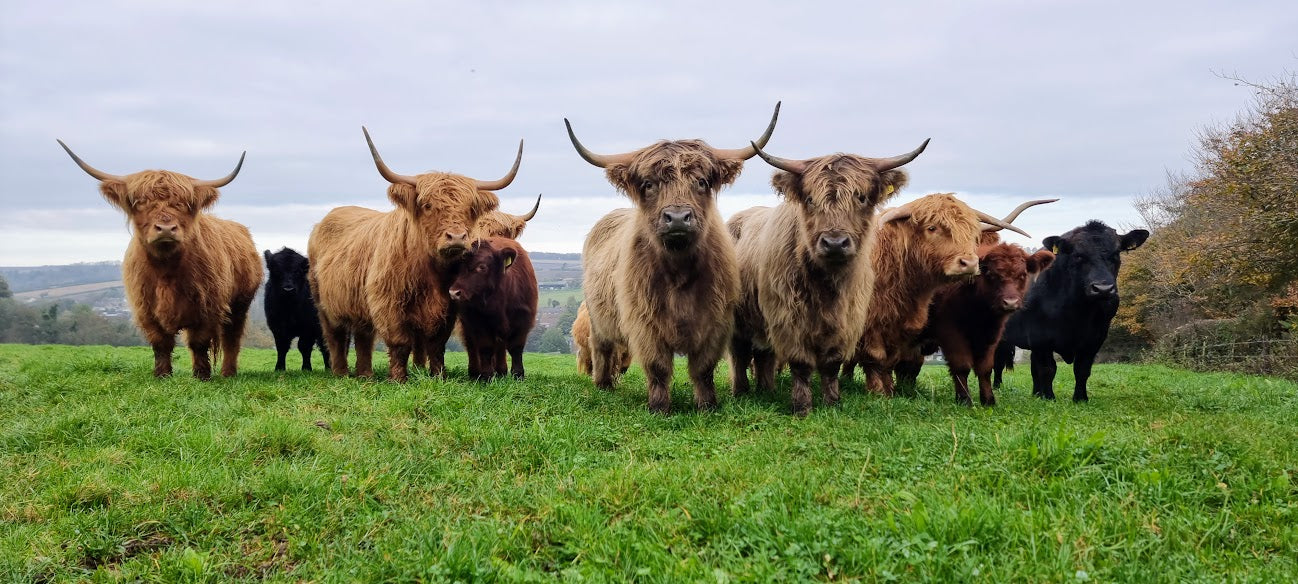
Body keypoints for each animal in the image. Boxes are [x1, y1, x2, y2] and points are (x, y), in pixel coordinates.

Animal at [59, 139, 262, 381]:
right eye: (140, 202)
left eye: (183, 203)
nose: (166, 228)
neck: (166, 270)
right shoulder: (144, 309)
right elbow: (161, 343)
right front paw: (162, 375)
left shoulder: (208, 306)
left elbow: (199, 342)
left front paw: (201, 376)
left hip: (239, 305)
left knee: (232, 339)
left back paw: (228, 373)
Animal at [308, 128, 516, 384]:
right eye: (427, 205)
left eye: (470, 208)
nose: (457, 237)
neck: (429, 271)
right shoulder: (387, 303)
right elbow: (400, 343)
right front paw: (398, 379)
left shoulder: (448, 306)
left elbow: (436, 344)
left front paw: (438, 376)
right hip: (325, 305)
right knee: (336, 337)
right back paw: (341, 373)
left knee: (364, 337)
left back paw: (365, 375)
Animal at [446, 234, 537, 381]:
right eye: (458, 267)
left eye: (482, 267)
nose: (454, 292)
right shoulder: (478, 322)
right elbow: (485, 348)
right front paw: (487, 376)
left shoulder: (523, 320)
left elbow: (516, 348)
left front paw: (518, 375)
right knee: (472, 347)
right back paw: (475, 373)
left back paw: (501, 372)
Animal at [571, 105, 778, 415]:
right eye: (648, 184)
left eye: (701, 182)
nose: (678, 218)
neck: (679, 274)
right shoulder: (644, 323)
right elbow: (658, 367)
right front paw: (659, 406)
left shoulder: (715, 321)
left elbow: (703, 368)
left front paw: (707, 404)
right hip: (597, 319)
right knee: (601, 349)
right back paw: (603, 384)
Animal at [991, 220, 1147, 402]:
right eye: (1078, 255)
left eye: (1116, 254)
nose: (1103, 289)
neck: (1076, 311)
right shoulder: (1040, 337)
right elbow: (1048, 369)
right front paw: (1049, 397)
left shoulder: (1095, 338)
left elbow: (1082, 369)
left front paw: (1080, 398)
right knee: (998, 363)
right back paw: (998, 387)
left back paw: (1035, 393)